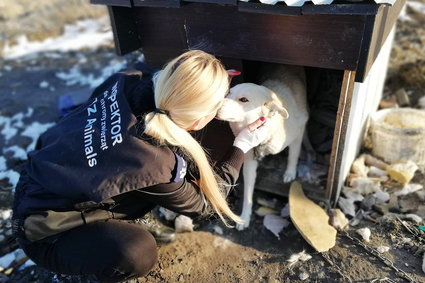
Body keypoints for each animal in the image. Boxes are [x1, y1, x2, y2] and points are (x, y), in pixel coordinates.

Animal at [217, 64, 306, 231]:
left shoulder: (298, 133)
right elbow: (248, 194)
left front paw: (290, 172)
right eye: (228, 93)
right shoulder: (249, 163)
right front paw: (245, 217)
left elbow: (294, 155)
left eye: (243, 100)